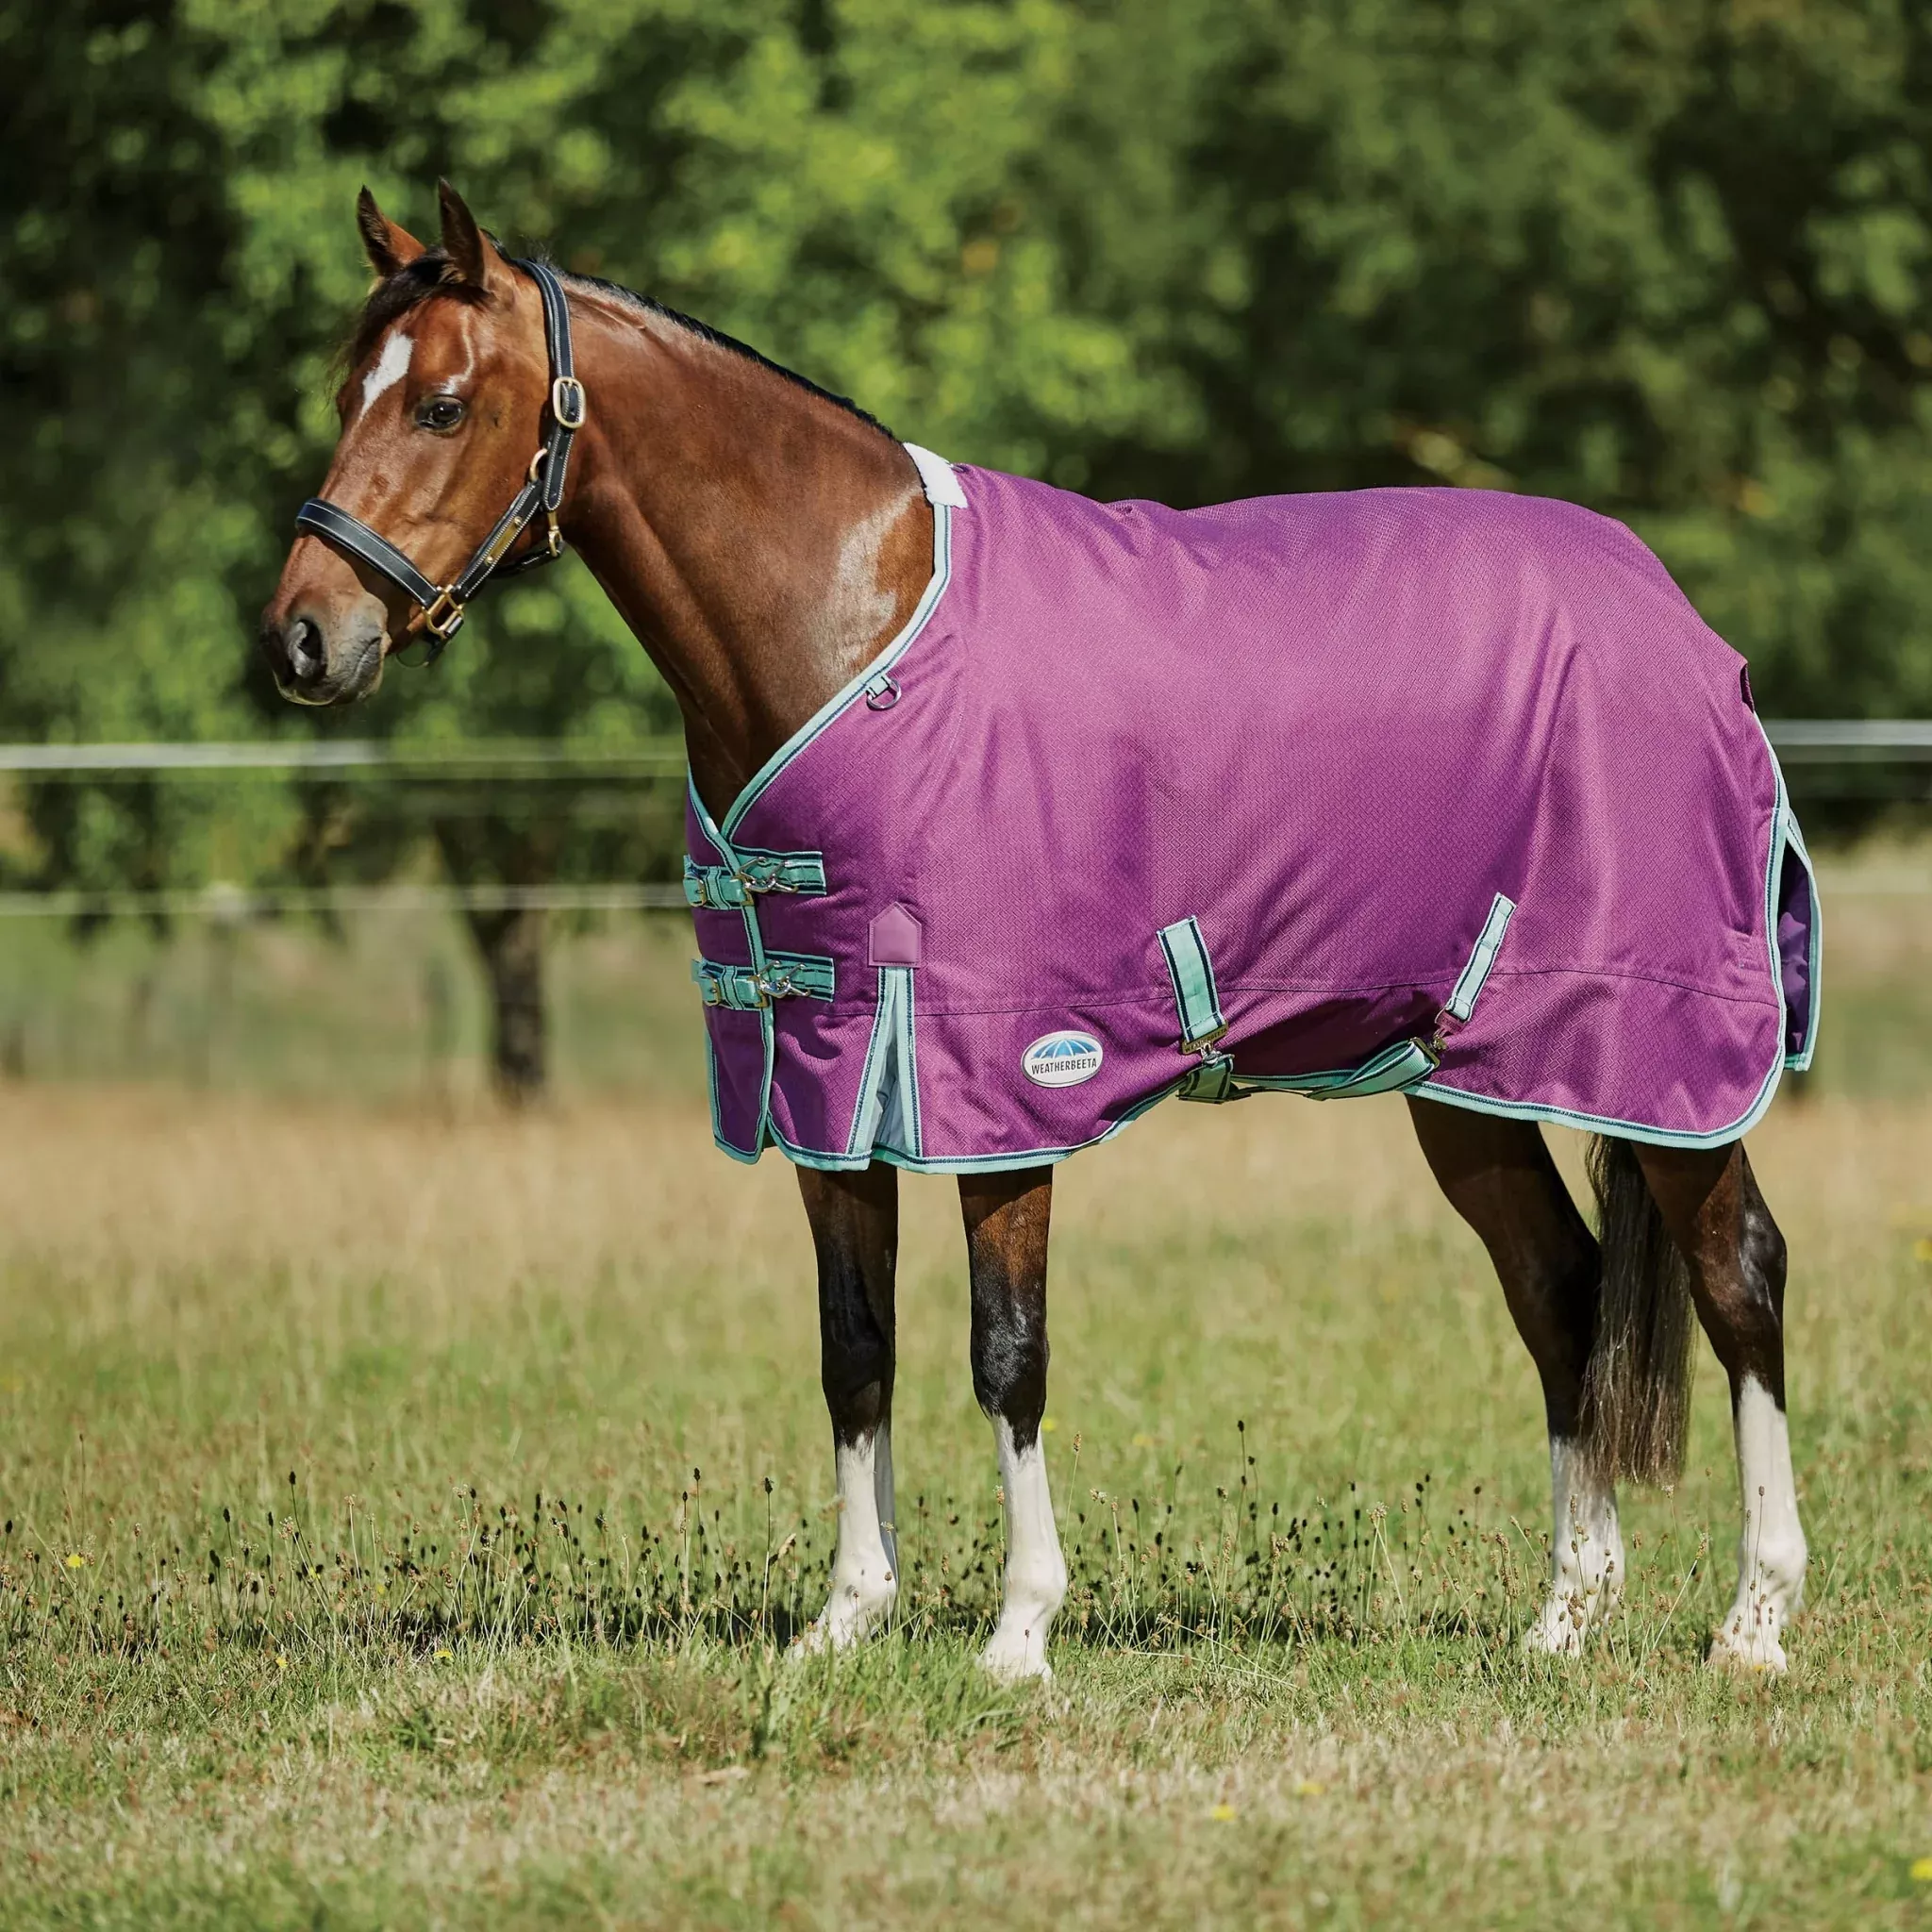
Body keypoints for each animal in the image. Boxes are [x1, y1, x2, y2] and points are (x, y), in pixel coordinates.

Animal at [262, 182, 1814, 1680]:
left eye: (440, 403)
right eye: (343, 391)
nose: (303, 638)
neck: (850, 622)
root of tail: (1681, 624)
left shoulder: (993, 1078)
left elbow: (1007, 1353)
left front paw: (1018, 1632)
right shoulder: (830, 1073)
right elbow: (854, 1347)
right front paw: (846, 1617)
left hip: (1664, 1053)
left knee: (1738, 1274)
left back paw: (1753, 1619)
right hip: (1467, 1078)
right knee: (1560, 1289)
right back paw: (1566, 1613)